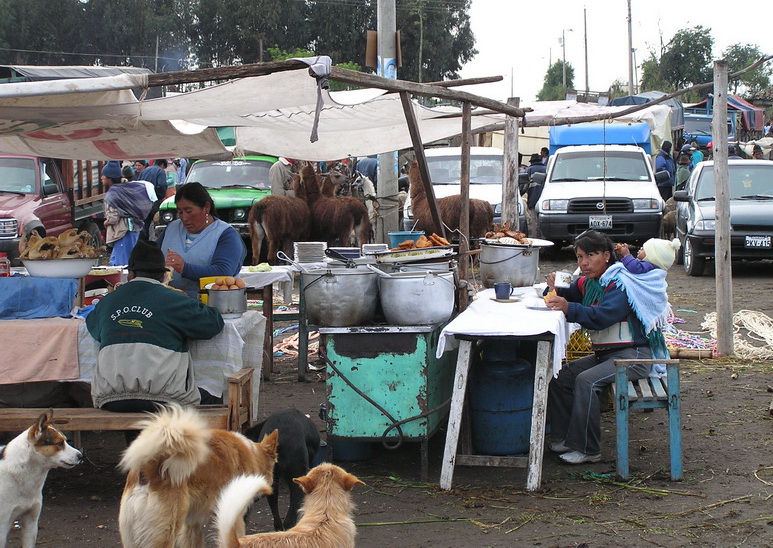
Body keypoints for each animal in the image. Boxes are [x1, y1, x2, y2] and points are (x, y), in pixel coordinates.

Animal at [118, 404, 279, 548]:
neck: (253, 454)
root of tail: (148, 468)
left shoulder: (192, 524)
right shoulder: (235, 517)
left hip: (131, 536)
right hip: (166, 530)